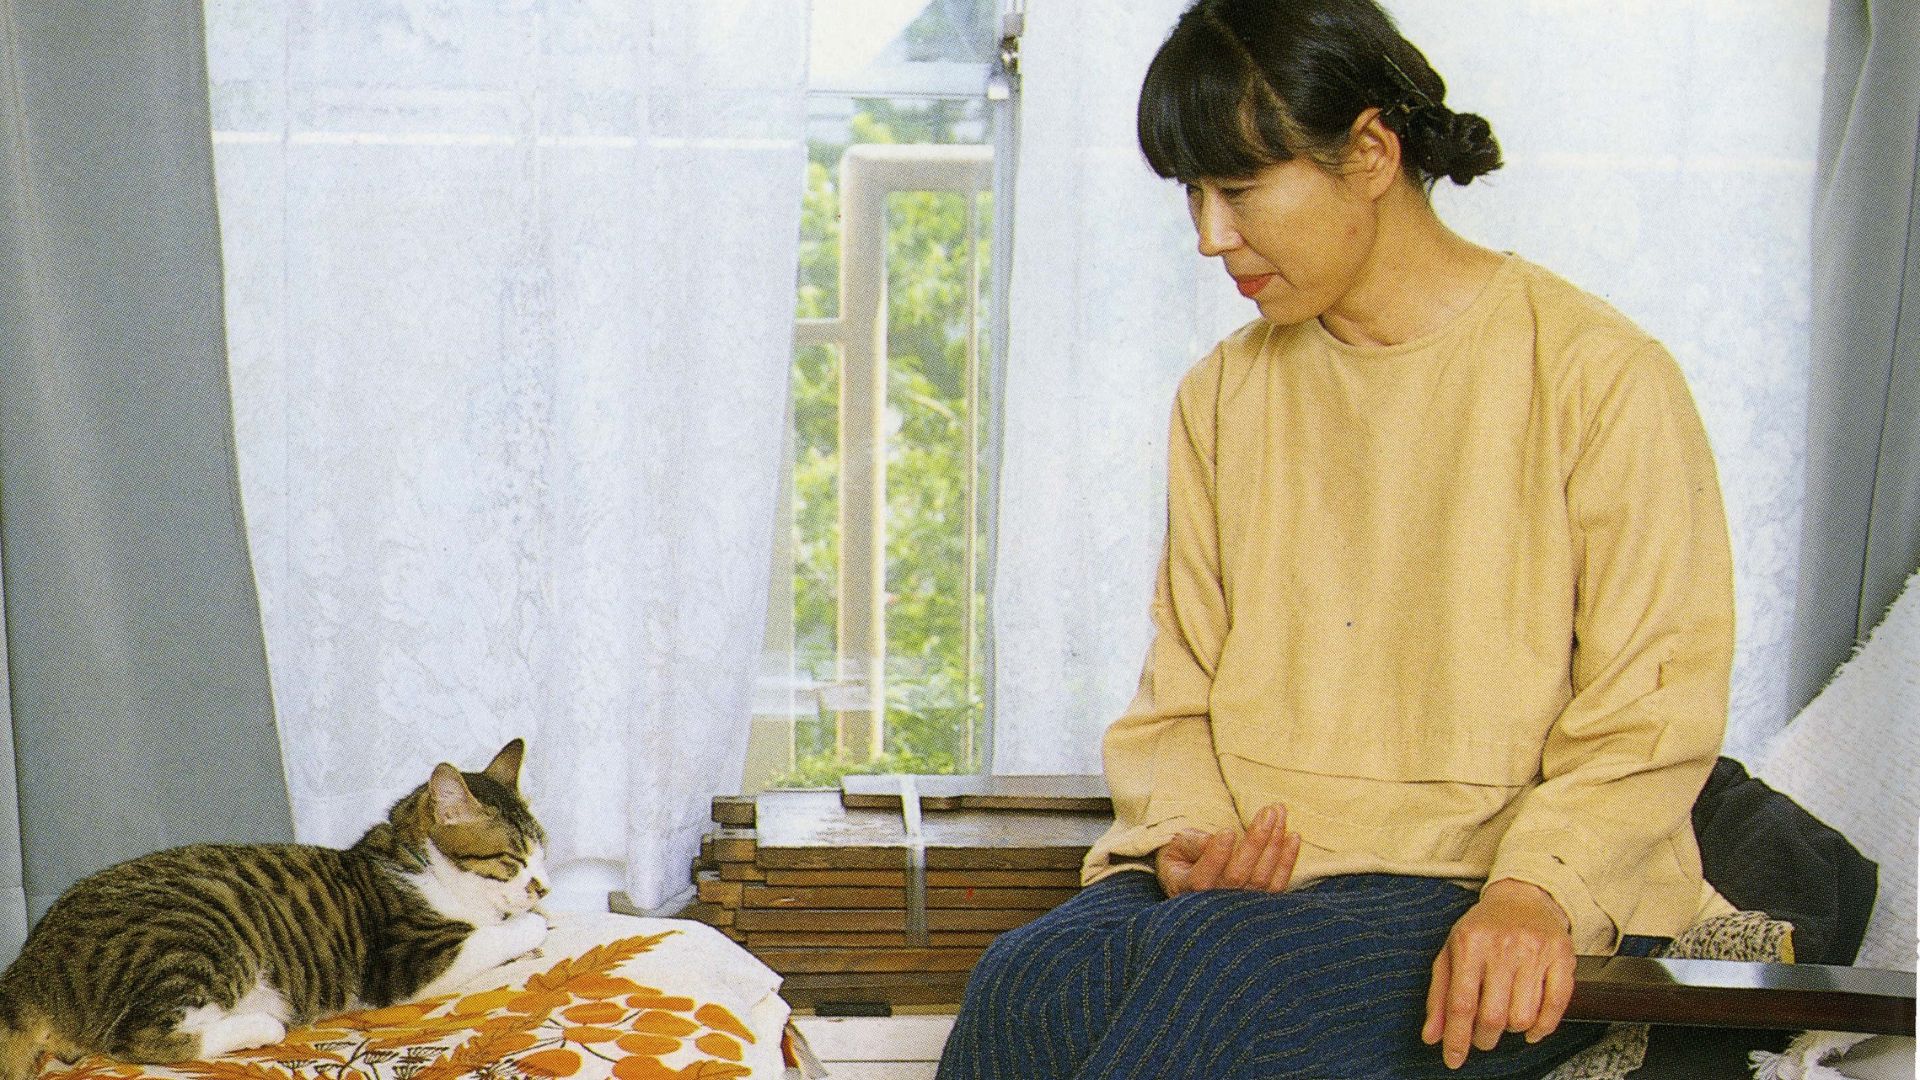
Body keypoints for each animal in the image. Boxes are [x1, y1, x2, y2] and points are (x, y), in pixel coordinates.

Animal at [0, 734, 549, 1068]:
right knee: (139, 1039)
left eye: (544, 850)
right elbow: (492, 935)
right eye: (513, 859)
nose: (543, 886)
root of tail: (29, 963)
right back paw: (260, 1024)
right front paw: (531, 922)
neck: (418, 865)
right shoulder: (408, 960)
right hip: (192, 938)